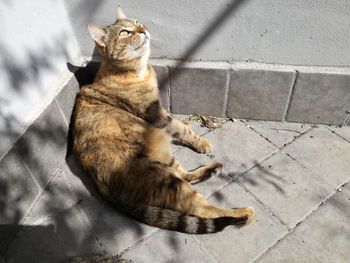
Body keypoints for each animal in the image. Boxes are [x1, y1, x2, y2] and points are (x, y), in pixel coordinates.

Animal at [73, 6, 254, 235]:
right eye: (124, 32)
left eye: (137, 21)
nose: (143, 29)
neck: (135, 70)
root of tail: (100, 183)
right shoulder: (156, 115)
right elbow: (183, 128)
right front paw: (202, 143)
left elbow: (181, 126)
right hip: (165, 177)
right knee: (204, 209)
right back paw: (242, 214)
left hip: (166, 161)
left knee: (185, 176)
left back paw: (211, 171)